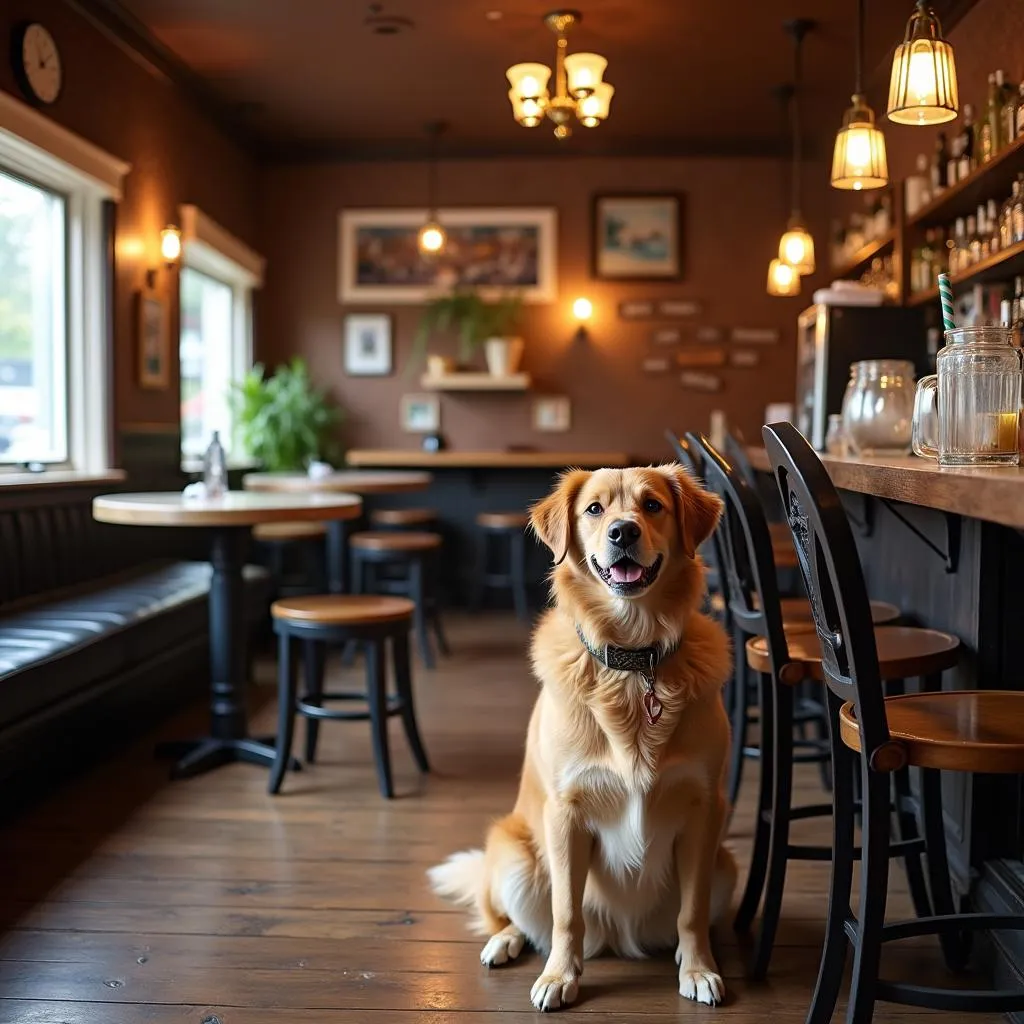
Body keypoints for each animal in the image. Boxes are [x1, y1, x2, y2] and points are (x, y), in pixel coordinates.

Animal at [425, 468, 737, 1011]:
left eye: (652, 506)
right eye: (594, 509)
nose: (622, 532)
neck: (634, 661)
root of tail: (617, 937)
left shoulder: (704, 810)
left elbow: (692, 911)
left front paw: (698, 968)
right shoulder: (566, 813)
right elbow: (566, 914)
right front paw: (559, 977)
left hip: (726, 865)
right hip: (514, 858)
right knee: (517, 920)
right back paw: (504, 942)